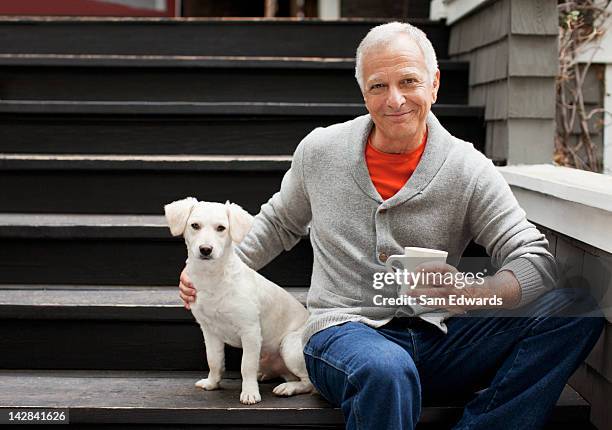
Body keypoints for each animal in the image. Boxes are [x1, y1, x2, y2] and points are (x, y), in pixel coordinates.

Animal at [164, 197, 314, 404]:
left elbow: (246, 366)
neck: (213, 279)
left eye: (221, 228)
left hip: (290, 346)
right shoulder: (209, 331)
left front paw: (250, 392)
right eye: (195, 225)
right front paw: (212, 383)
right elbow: (214, 360)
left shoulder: (250, 331)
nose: (205, 249)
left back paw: (289, 387)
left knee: (309, 383)